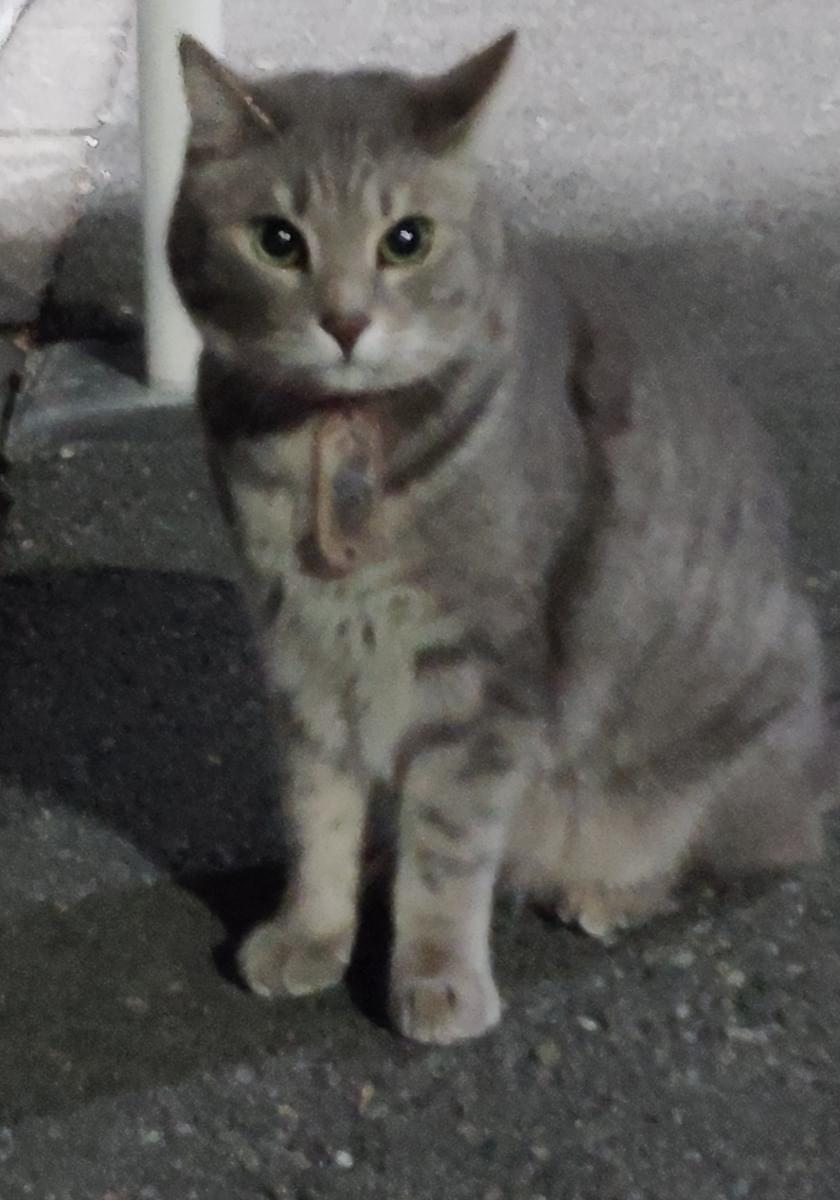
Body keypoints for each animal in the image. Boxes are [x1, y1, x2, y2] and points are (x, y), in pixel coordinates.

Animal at [168, 30, 836, 1044]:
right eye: (277, 240)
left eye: (406, 239)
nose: (346, 320)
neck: (337, 438)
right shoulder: (298, 650)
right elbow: (318, 812)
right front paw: (312, 930)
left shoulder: (479, 678)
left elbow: (449, 852)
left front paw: (437, 975)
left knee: (708, 854)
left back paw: (603, 891)